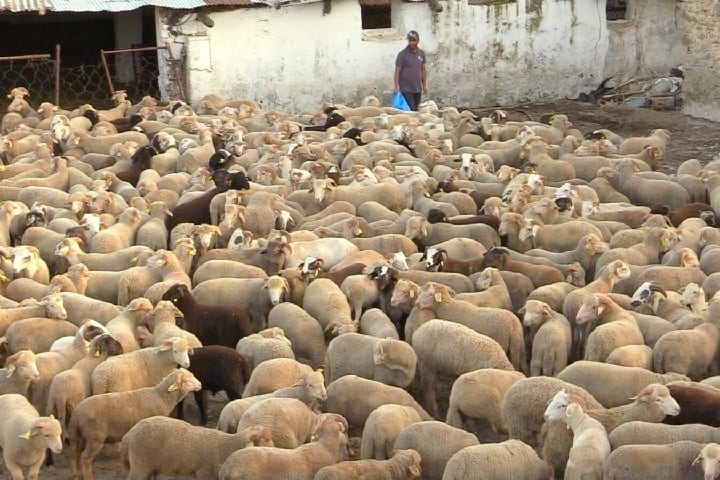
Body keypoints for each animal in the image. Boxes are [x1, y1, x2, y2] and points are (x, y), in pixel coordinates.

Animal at [67, 368, 200, 480]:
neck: (162, 397)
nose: (200, 385)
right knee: (85, 458)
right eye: (187, 380)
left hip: (78, 435)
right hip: (95, 437)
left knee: (74, 453)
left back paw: (76, 474)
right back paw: (88, 476)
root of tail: (77, 413)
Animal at [121, 418, 272, 478]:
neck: (228, 446)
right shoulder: (203, 472)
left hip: (150, 466)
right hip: (140, 464)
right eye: (263, 441)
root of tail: (129, 435)